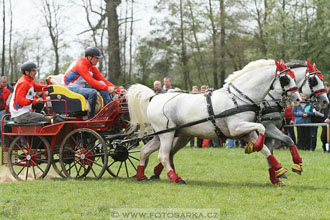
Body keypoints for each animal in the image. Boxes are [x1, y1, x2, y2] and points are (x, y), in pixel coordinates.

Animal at [127, 58, 302, 184]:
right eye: (286, 79)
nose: (298, 98)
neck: (239, 98)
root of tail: (154, 96)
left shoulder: (245, 131)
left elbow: (265, 149)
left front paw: (278, 171)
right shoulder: (236, 128)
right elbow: (262, 129)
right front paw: (263, 153)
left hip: (166, 135)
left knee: (145, 151)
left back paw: (141, 176)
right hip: (167, 134)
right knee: (163, 156)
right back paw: (175, 178)